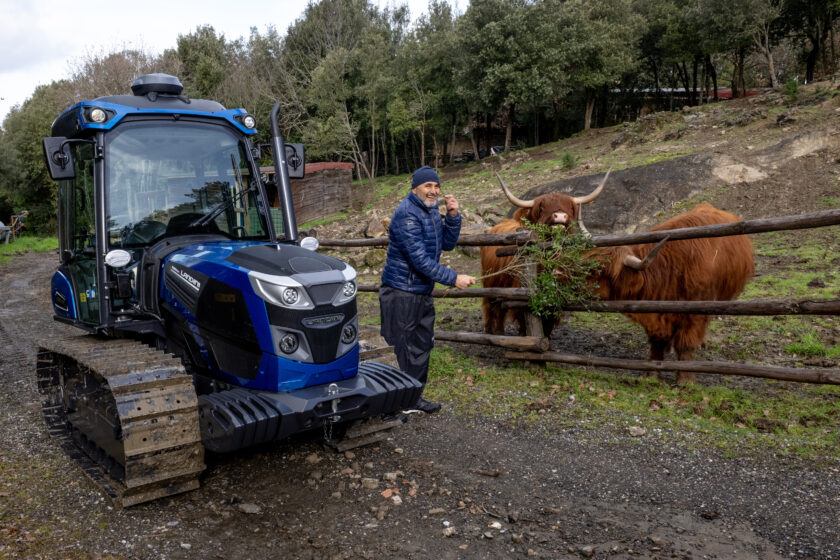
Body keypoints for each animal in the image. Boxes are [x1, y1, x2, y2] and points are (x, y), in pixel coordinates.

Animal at [480, 173, 612, 334]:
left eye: (570, 207)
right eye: (542, 207)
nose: (560, 216)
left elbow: (548, 324)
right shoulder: (522, 298)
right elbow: (524, 323)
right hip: (491, 283)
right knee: (491, 308)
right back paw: (494, 331)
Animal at [584, 203, 756, 382]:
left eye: (598, 271)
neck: (670, 269)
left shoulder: (695, 313)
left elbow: (686, 343)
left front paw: (685, 378)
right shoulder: (656, 311)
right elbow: (657, 342)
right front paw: (652, 372)